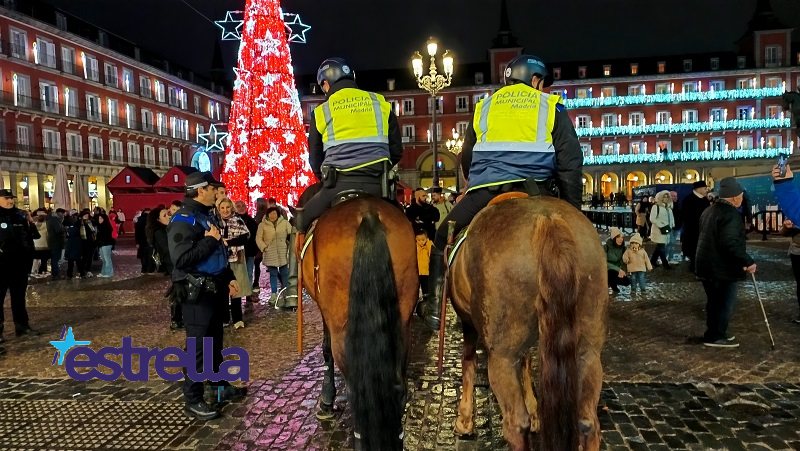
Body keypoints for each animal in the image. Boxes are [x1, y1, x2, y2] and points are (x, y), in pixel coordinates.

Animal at [296, 192, 418, 451]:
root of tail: (367, 214)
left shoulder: (327, 316)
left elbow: (326, 351)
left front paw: (326, 401)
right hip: (402, 327)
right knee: (397, 387)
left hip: (342, 328)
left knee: (358, 390)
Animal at [450, 196, 608, 450]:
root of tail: (548, 220)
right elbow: (526, 361)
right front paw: (535, 412)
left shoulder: (469, 325)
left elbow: (468, 362)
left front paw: (464, 420)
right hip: (588, 351)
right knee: (587, 423)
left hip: (502, 356)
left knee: (516, 424)